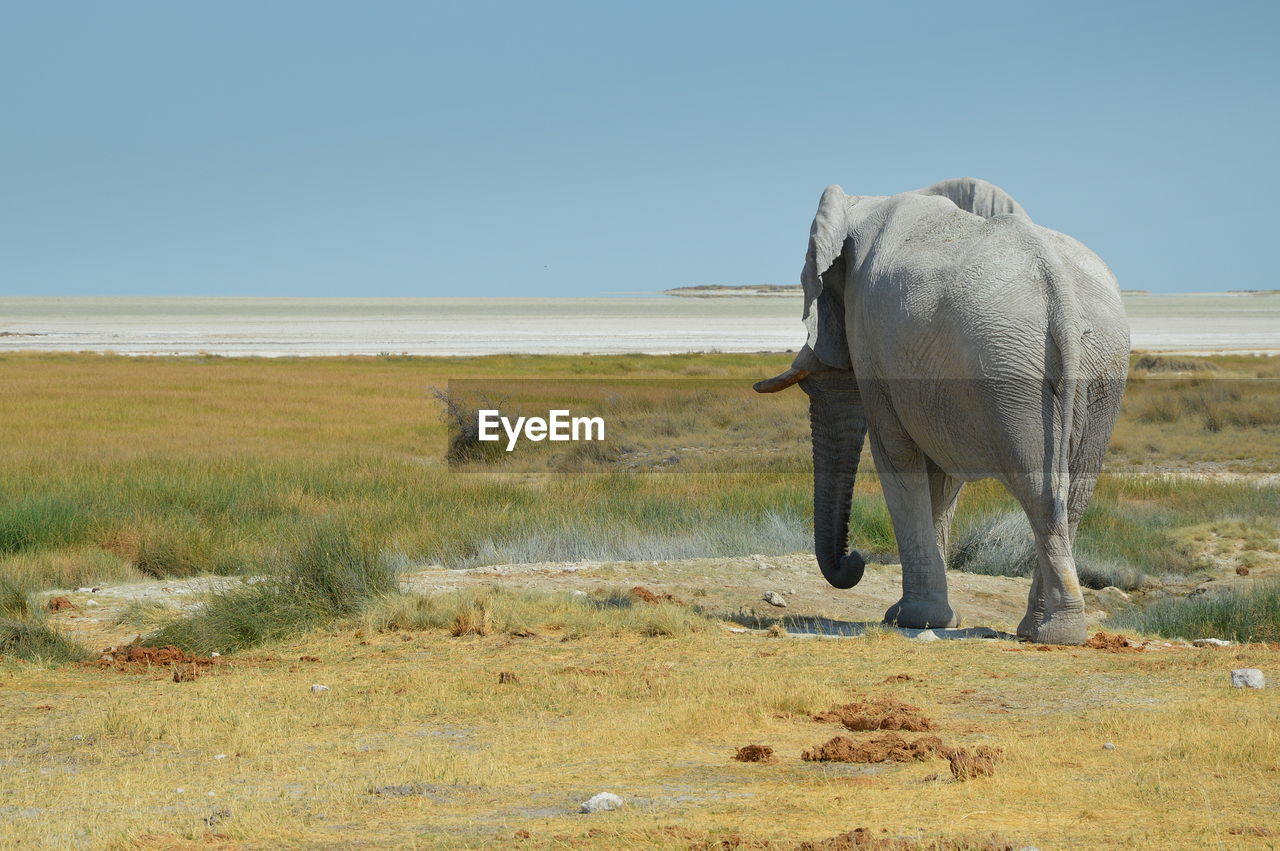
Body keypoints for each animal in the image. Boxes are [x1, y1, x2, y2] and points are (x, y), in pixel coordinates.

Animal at [752, 177, 1126, 644]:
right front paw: (929, 617)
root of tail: (1061, 288)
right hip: (1097, 370)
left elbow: (897, 455)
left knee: (1040, 490)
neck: (862, 203)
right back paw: (1040, 629)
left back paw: (1054, 634)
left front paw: (913, 618)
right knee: (1074, 493)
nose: (855, 560)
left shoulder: (873, 338)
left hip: (1011, 370)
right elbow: (941, 478)